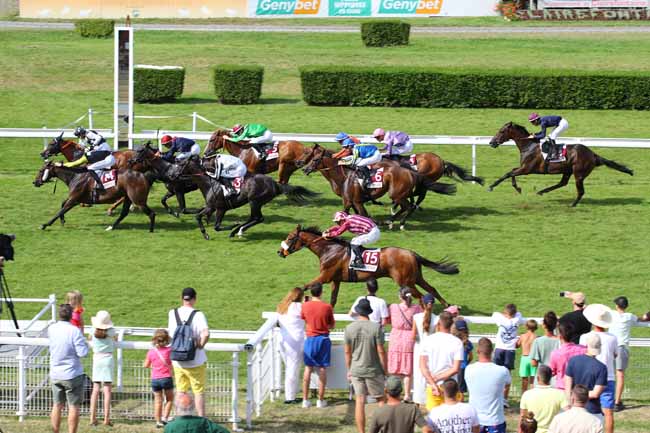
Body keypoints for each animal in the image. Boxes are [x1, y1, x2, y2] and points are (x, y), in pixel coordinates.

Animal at [276, 224, 458, 306]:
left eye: (290, 237)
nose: (279, 252)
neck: (329, 249)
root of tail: (412, 253)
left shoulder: (325, 277)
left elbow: (303, 286)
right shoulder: (335, 280)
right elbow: (333, 299)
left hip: (405, 281)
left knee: (420, 296)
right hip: (416, 277)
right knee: (431, 289)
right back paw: (447, 306)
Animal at [300, 143, 456, 230]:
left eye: (314, 158)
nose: (303, 168)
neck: (343, 175)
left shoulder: (354, 201)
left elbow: (359, 214)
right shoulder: (350, 201)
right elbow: (353, 214)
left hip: (397, 193)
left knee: (409, 204)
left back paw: (395, 222)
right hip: (402, 193)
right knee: (409, 204)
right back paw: (393, 220)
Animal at [486, 122, 632, 207]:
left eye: (501, 131)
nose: (491, 142)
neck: (529, 145)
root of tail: (593, 154)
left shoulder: (527, 169)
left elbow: (508, 173)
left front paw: (491, 186)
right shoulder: (523, 168)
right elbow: (511, 171)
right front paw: (518, 188)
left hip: (578, 174)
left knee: (580, 191)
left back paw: (572, 204)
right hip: (568, 170)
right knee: (562, 183)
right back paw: (542, 191)